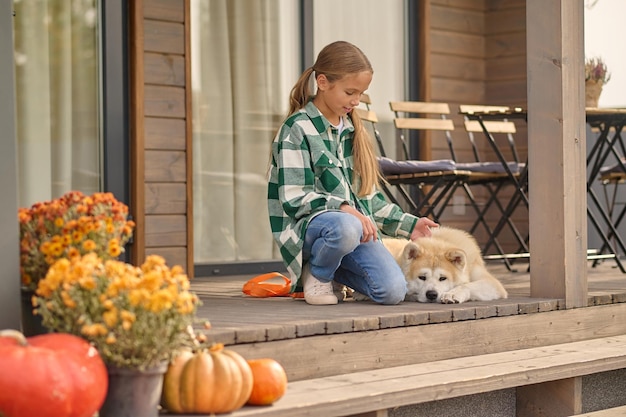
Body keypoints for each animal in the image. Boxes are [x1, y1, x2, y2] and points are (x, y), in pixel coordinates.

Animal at [380, 226, 508, 304]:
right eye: (422, 277)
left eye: (443, 278)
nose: (431, 294)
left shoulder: (492, 283)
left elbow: (467, 285)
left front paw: (452, 294)